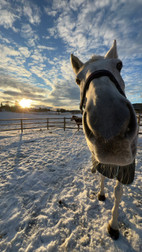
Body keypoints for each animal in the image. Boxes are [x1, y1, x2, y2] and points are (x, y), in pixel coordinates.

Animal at [70, 40, 138, 239]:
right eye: (77, 79)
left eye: (119, 65)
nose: (109, 123)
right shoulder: (100, 158)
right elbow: (102, 174)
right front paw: (101, 194)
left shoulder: (126, 165)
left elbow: (118, 191)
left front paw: (113, 226)